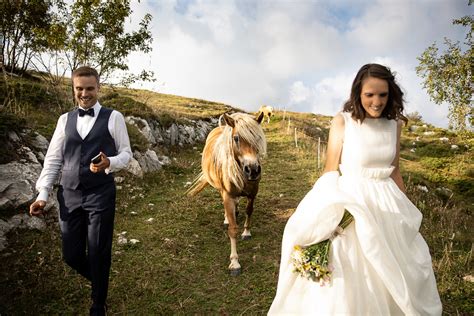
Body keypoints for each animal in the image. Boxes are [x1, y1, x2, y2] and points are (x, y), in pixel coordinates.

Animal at [187, 112, 266, 276]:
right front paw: (235, 262)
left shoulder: (253, 193)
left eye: (258, 137)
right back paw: (226, 218)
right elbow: (233, 229)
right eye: (236, 138)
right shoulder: (228, 196)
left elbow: (249, 211)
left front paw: (246, 232)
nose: (253, 170)